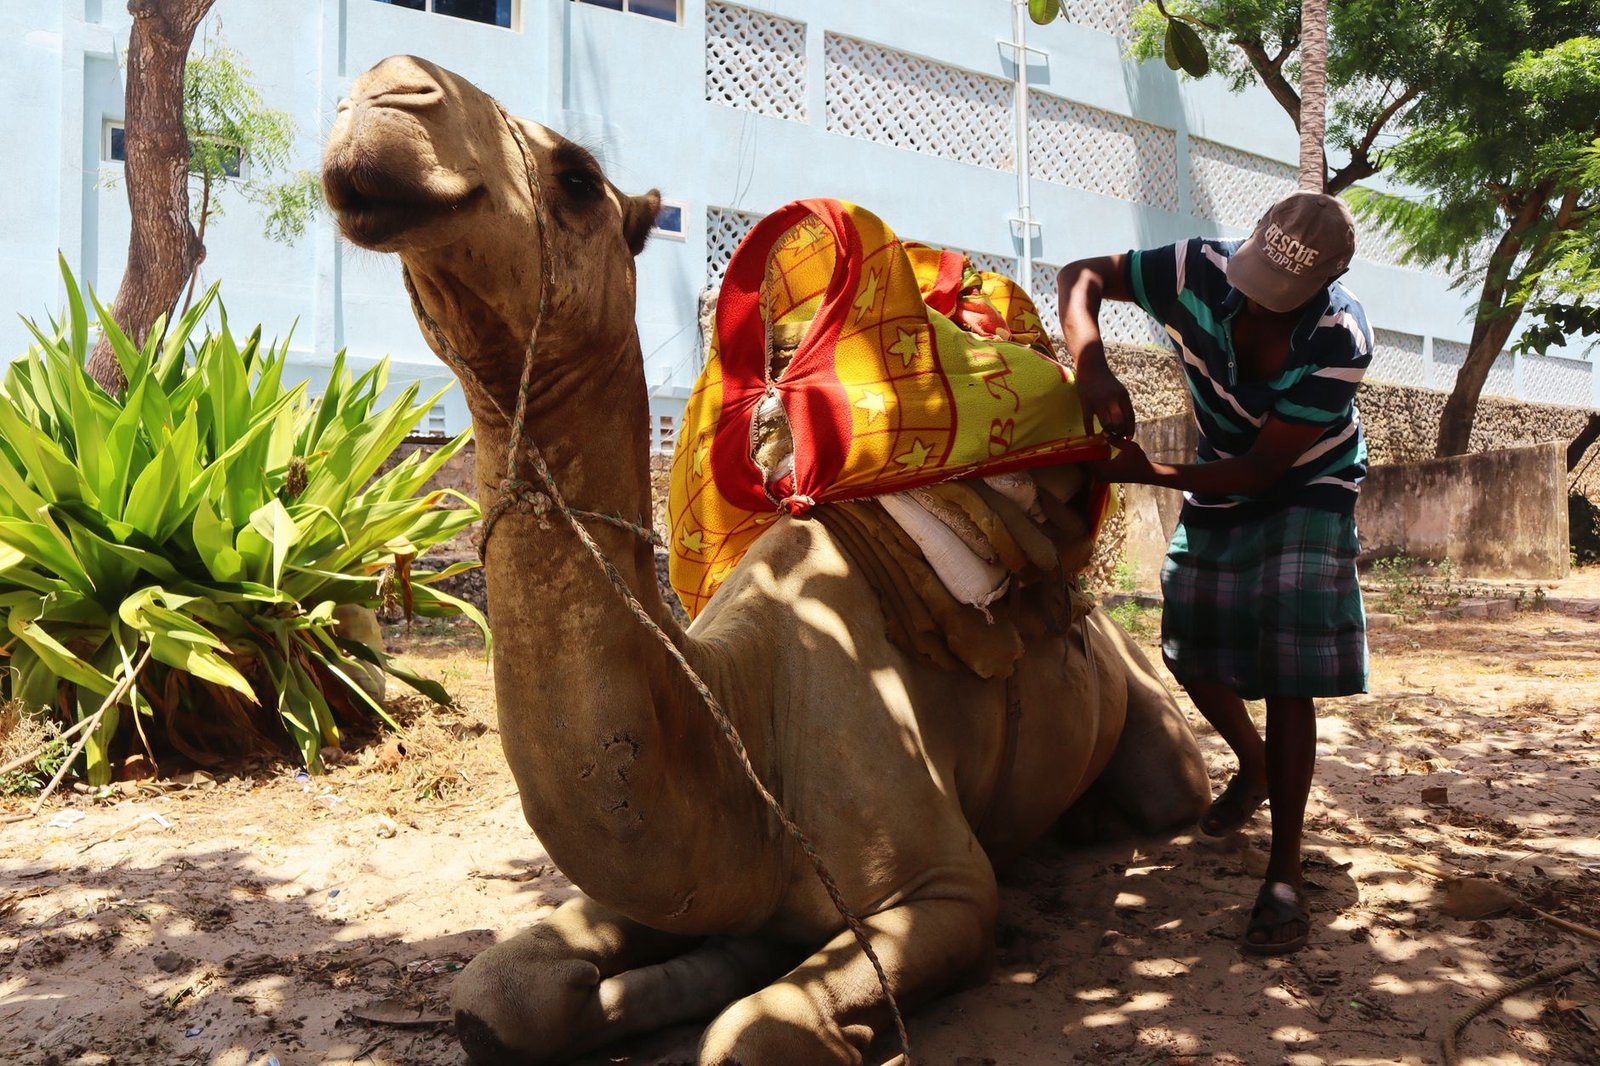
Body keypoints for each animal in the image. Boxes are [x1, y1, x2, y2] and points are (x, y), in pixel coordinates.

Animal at [322, 55, 1210, 1065]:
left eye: (579, 177)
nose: (385, 96)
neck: (750, 709)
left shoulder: (944, 886)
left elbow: (756, 1031)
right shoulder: (694, 877)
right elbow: (502, 994)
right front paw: (703, 970)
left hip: (1144, 704)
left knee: (1178, 787)